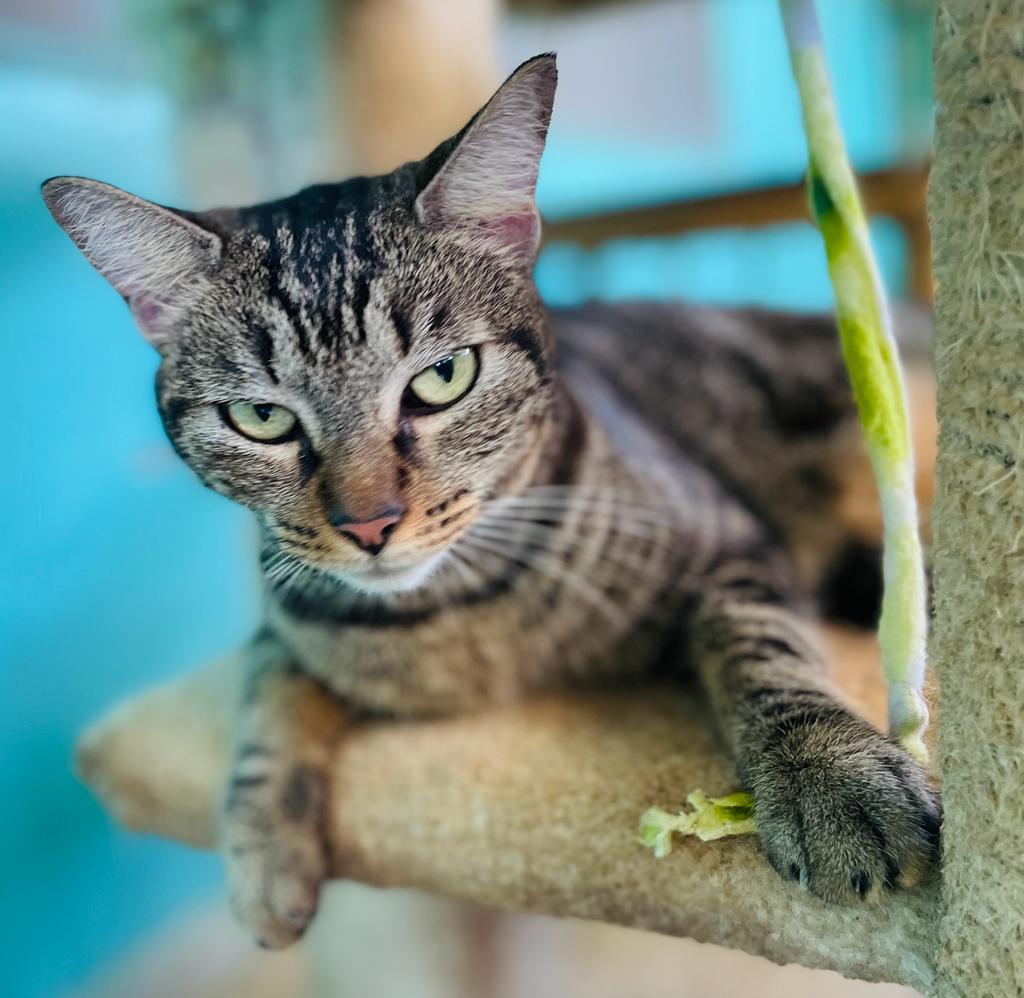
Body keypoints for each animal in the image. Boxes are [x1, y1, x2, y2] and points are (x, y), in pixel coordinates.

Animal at [44, 56, 937, 953]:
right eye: (261, 418)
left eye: (444, 377)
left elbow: (761, 647)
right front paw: (261, 855)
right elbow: (266, 701)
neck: (461, 617)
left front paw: (828, 773)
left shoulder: (728, 541)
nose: (369, 524)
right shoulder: (285, 614)